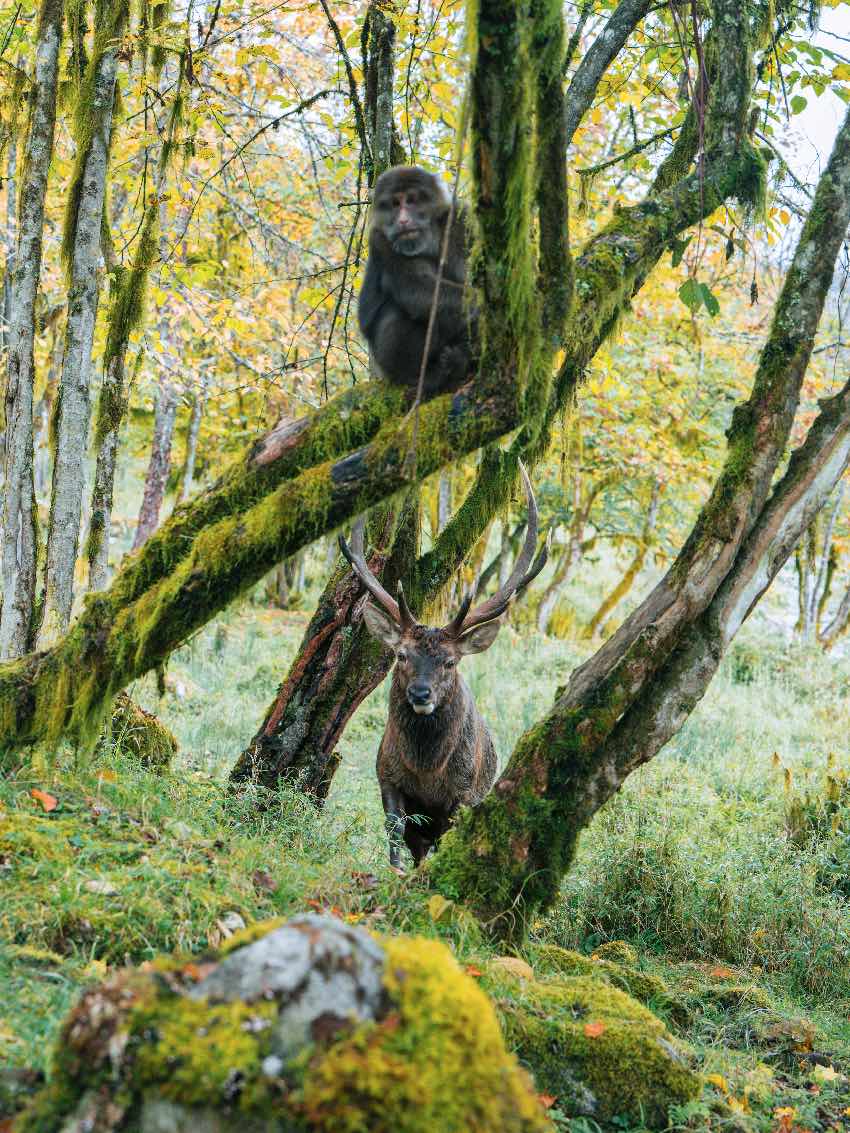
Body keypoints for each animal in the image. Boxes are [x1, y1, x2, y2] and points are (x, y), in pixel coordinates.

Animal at [342, 464, 553, 870]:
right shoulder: (386, 777)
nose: (420, 693)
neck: (427, 772)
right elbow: (394, 836)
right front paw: (395, 873)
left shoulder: (463, 795)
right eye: (401, 655)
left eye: (450, 662)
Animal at [360, 165, 480, 398]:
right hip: (387, 363)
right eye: (395, 204)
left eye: (411, 200)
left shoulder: (460, 218)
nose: (403, 220)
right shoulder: (379, 240)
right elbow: (418, 291)